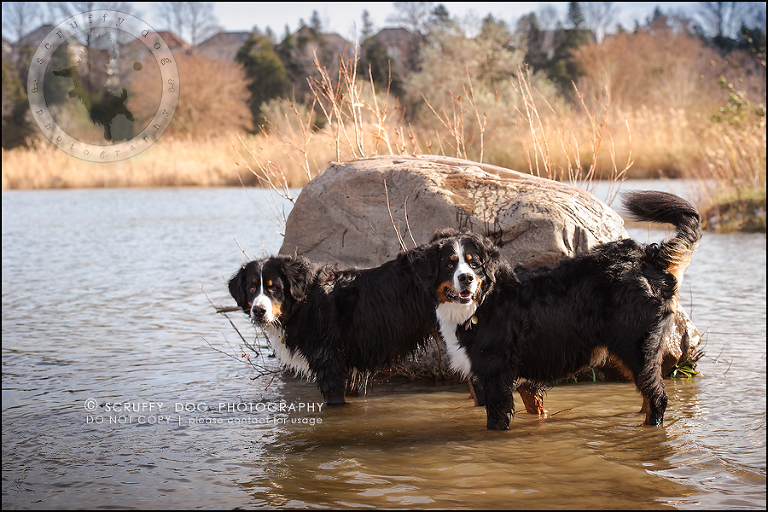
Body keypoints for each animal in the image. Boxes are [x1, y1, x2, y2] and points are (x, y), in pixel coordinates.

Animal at [426, 190, 704, 430]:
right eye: (449, 264)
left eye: (475, 264)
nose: (466, 279)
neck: (485, 302)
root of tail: (647, 257)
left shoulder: (494, 373)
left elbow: (496, 420)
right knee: (648, 396)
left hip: (637, 348)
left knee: (657, 397)